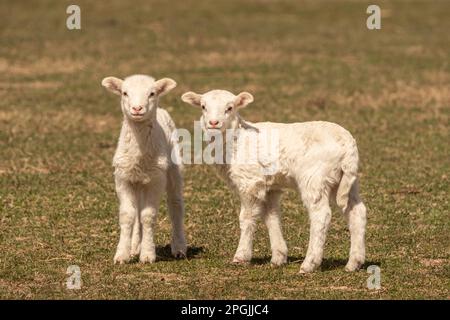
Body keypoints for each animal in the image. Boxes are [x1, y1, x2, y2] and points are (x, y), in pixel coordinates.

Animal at [102, 74, 186, 264]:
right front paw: (122, 255)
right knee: (137, 212)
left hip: (173, 169)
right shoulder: (123, 178)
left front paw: (147, 254)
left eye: (152, 93)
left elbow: (148, 216)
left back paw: (179, 248)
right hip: (139, 182)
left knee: (175, 206)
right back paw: (134, 247)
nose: (137, 108)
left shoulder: (156, 179)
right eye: (124, 93)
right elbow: (128, 215)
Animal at [181, 89, 368, 272]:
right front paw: (278, 257)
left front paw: (241, 256)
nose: (213, 123)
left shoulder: (250, 181)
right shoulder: (270, 186)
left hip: (314, 177)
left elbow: (246, 218)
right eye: (203, 107)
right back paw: (354, 263)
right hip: (344, 181)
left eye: (230, 108)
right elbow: (272, 217)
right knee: (357, 211)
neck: (236, 139)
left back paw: (309, 264)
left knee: (321, 215)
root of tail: (348, 146)